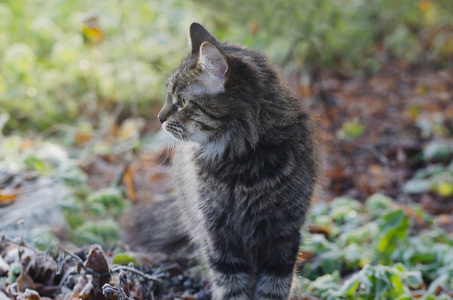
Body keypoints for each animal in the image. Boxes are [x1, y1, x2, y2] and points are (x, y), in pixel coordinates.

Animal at [123, 22, 318, 298]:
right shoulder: (218, 237)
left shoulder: (282, 236)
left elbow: (272, 289)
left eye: (182, 102)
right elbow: (231, 288)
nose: (159, 118)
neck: (241, 162)